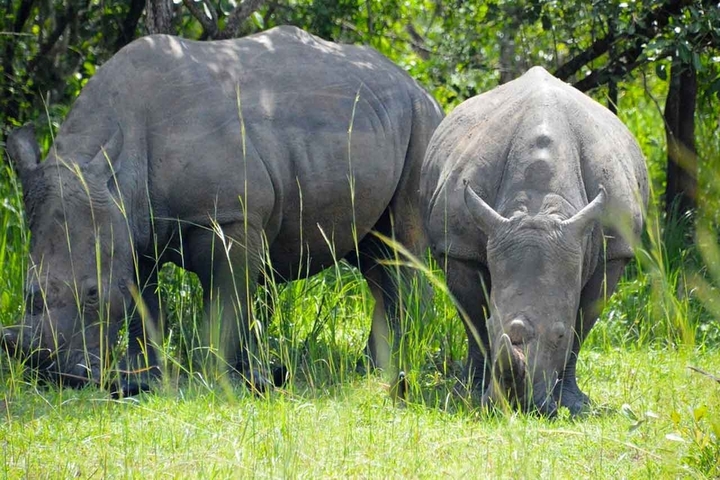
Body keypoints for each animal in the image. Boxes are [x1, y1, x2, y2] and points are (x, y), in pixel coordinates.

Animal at [2, 26, 444, 394]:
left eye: (93, 294)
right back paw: (370, 367)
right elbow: (144, 302)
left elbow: (226, 301)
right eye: (27, 294)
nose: (59, 376)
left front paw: (220, 377)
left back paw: (402, 366)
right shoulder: (133, 228)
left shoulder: (229, 216)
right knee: (374, 257)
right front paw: (146, 376)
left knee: (401, 246)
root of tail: (415, 81)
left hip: (422, 120)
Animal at [421, 66, 648, 415]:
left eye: (559, 334)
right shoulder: (458, 246)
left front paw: (573, 402)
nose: (517, 406)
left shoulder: (614, 252)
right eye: (492, 327)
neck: (539, 206)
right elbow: (473, 318)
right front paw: (471, 392)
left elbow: (582, 324)